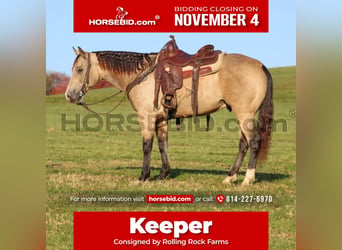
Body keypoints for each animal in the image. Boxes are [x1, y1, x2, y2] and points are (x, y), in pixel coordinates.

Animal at [65, 37, 272, 186]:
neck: (142, 74)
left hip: (244, 115)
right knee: (243, 144)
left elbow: (147, 146)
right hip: (241, 116)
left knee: (254, 142)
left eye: (80, 69)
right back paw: (230, 177)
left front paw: (144, 176)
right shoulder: (161, 120)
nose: (69, 95)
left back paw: (248, 179)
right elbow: (162, 145)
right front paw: (163, 174)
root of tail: (260, 65)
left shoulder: (146, 118)